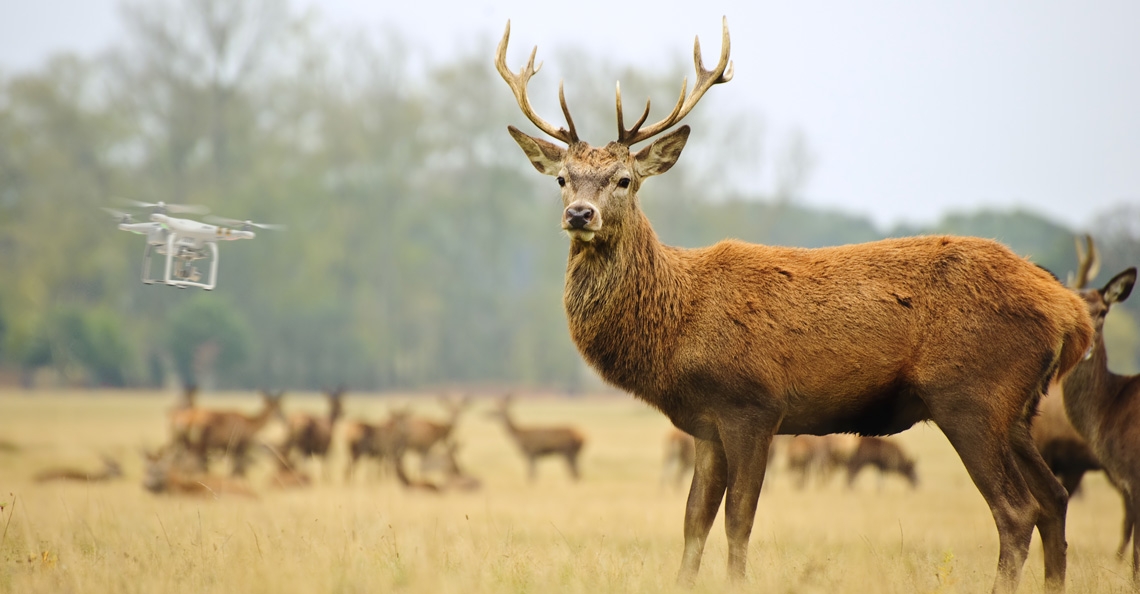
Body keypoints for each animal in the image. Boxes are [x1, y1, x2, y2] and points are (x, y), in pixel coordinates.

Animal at [499, 16, 1094, 588]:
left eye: (624, 179)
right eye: (562, 178)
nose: (580, 214)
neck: (678, 324)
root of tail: (1072, 314)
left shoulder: (752, 404)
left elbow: (738, 521)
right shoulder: (705, 423)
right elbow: (693, 521)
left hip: (970, 394)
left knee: (1016, 510)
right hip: (1018, 409)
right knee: (1054, 498)